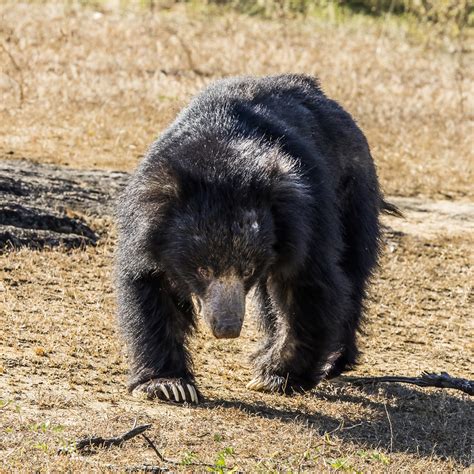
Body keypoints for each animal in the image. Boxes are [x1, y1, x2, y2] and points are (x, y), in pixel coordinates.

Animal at [117, 74, 386, 404]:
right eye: (202, 269)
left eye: (246, 270)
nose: (227, 328)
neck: (221, 158)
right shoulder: (151, 227)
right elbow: (154, 286)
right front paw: (169, 385)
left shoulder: (306, 217)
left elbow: (307, 282)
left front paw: (274, 376)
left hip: (352, 192)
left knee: (352, 269)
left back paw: (334, 359)